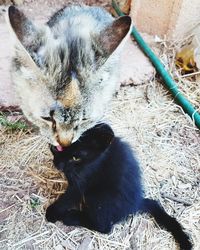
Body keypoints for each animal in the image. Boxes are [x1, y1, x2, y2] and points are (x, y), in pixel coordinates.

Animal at [46, 123, 191, 250]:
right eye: (56, 148)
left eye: (75, 158)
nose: (58, 165)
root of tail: (136, 203)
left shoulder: (80, 183)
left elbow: (67, 199)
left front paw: (51, 213)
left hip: (98, 196)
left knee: (104, 227)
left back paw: (71, 217)